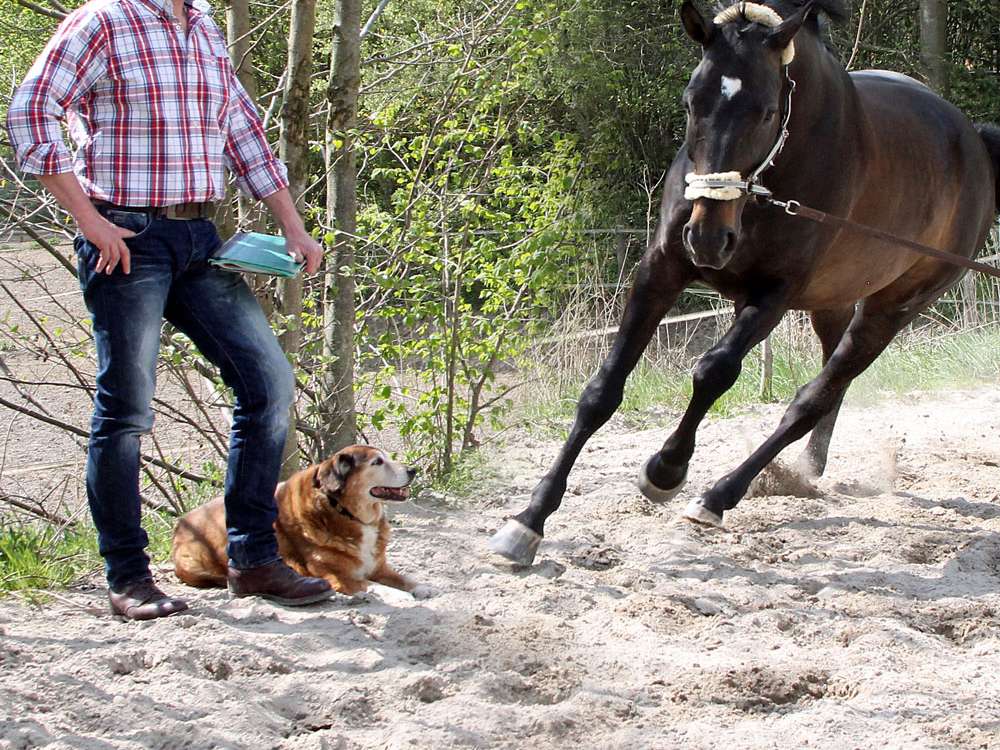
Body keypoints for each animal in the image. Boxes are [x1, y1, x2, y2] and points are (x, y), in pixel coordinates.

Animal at [489, 0, 1000, 565]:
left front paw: (666, 471)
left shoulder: (773, 295)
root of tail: (976, 143)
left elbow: (713, 372)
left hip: (891, 310)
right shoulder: (662, 269)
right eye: (691, 102)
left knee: (811, 399)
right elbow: (603, 390)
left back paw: (719, 495)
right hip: (832, 302)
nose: (709, 239)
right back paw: (806, 472)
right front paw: (528, 521)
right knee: (830, 388)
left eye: (767, 112)